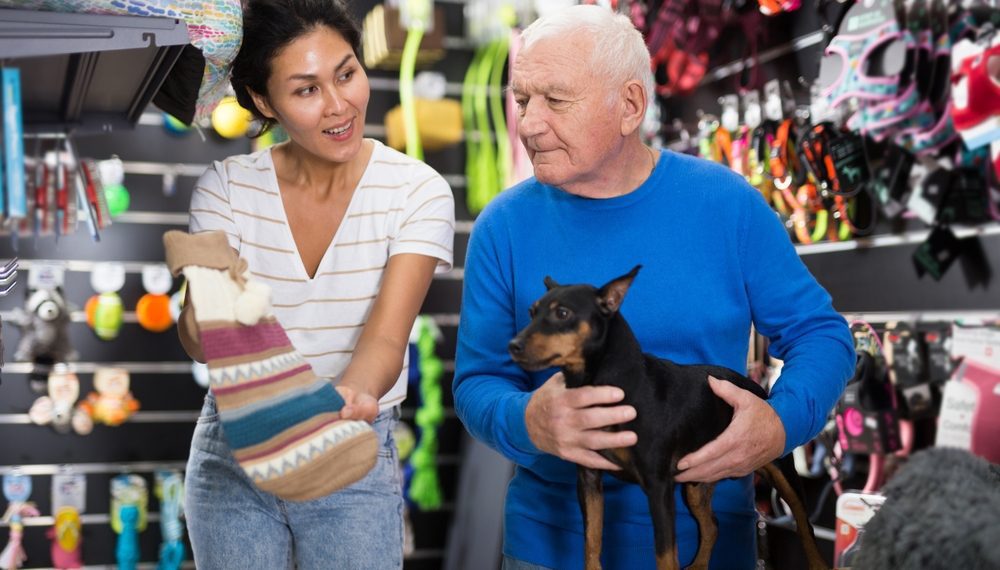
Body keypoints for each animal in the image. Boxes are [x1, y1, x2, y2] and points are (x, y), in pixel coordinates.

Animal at [508, 266, 828, 568]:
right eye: (531, 313)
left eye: (562, 313)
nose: (513, 345)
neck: (612, 382)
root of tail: (756, 387)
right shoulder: (588, 479)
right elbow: (592, 540)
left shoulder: (658, 486)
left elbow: (665, 554)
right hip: (696, 484)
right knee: (712, 525)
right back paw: (698, 565)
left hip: (779, 471)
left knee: (804, 526)